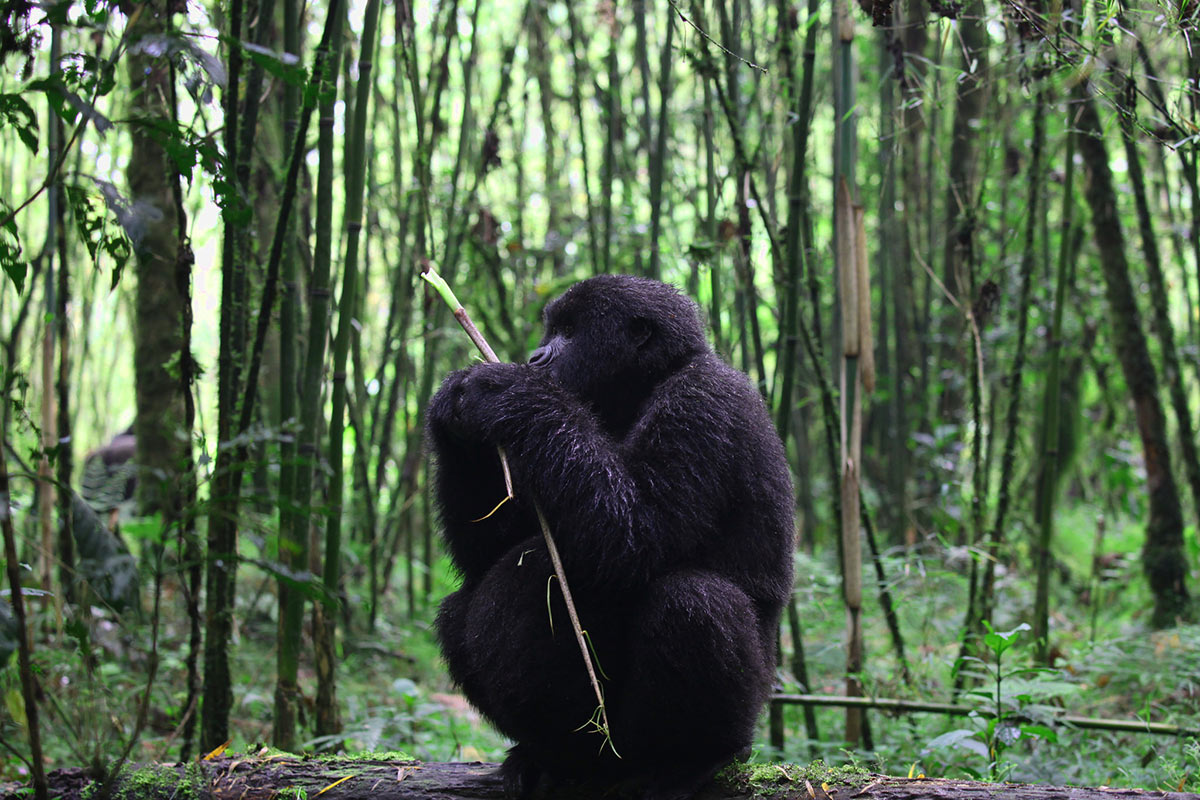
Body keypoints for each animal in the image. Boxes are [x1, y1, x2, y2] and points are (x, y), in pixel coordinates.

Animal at [427, 277, 792, 800]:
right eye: (553, 330)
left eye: (571, 332)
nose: (536, 357)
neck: (641, 386)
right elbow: (486, 552)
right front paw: (452, 414)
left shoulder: (704, 401)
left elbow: (634, 536)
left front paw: (511, 391)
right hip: (591, 745)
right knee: (458, 610)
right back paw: (548, 757)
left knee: (694, 602)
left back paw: (692, 759)